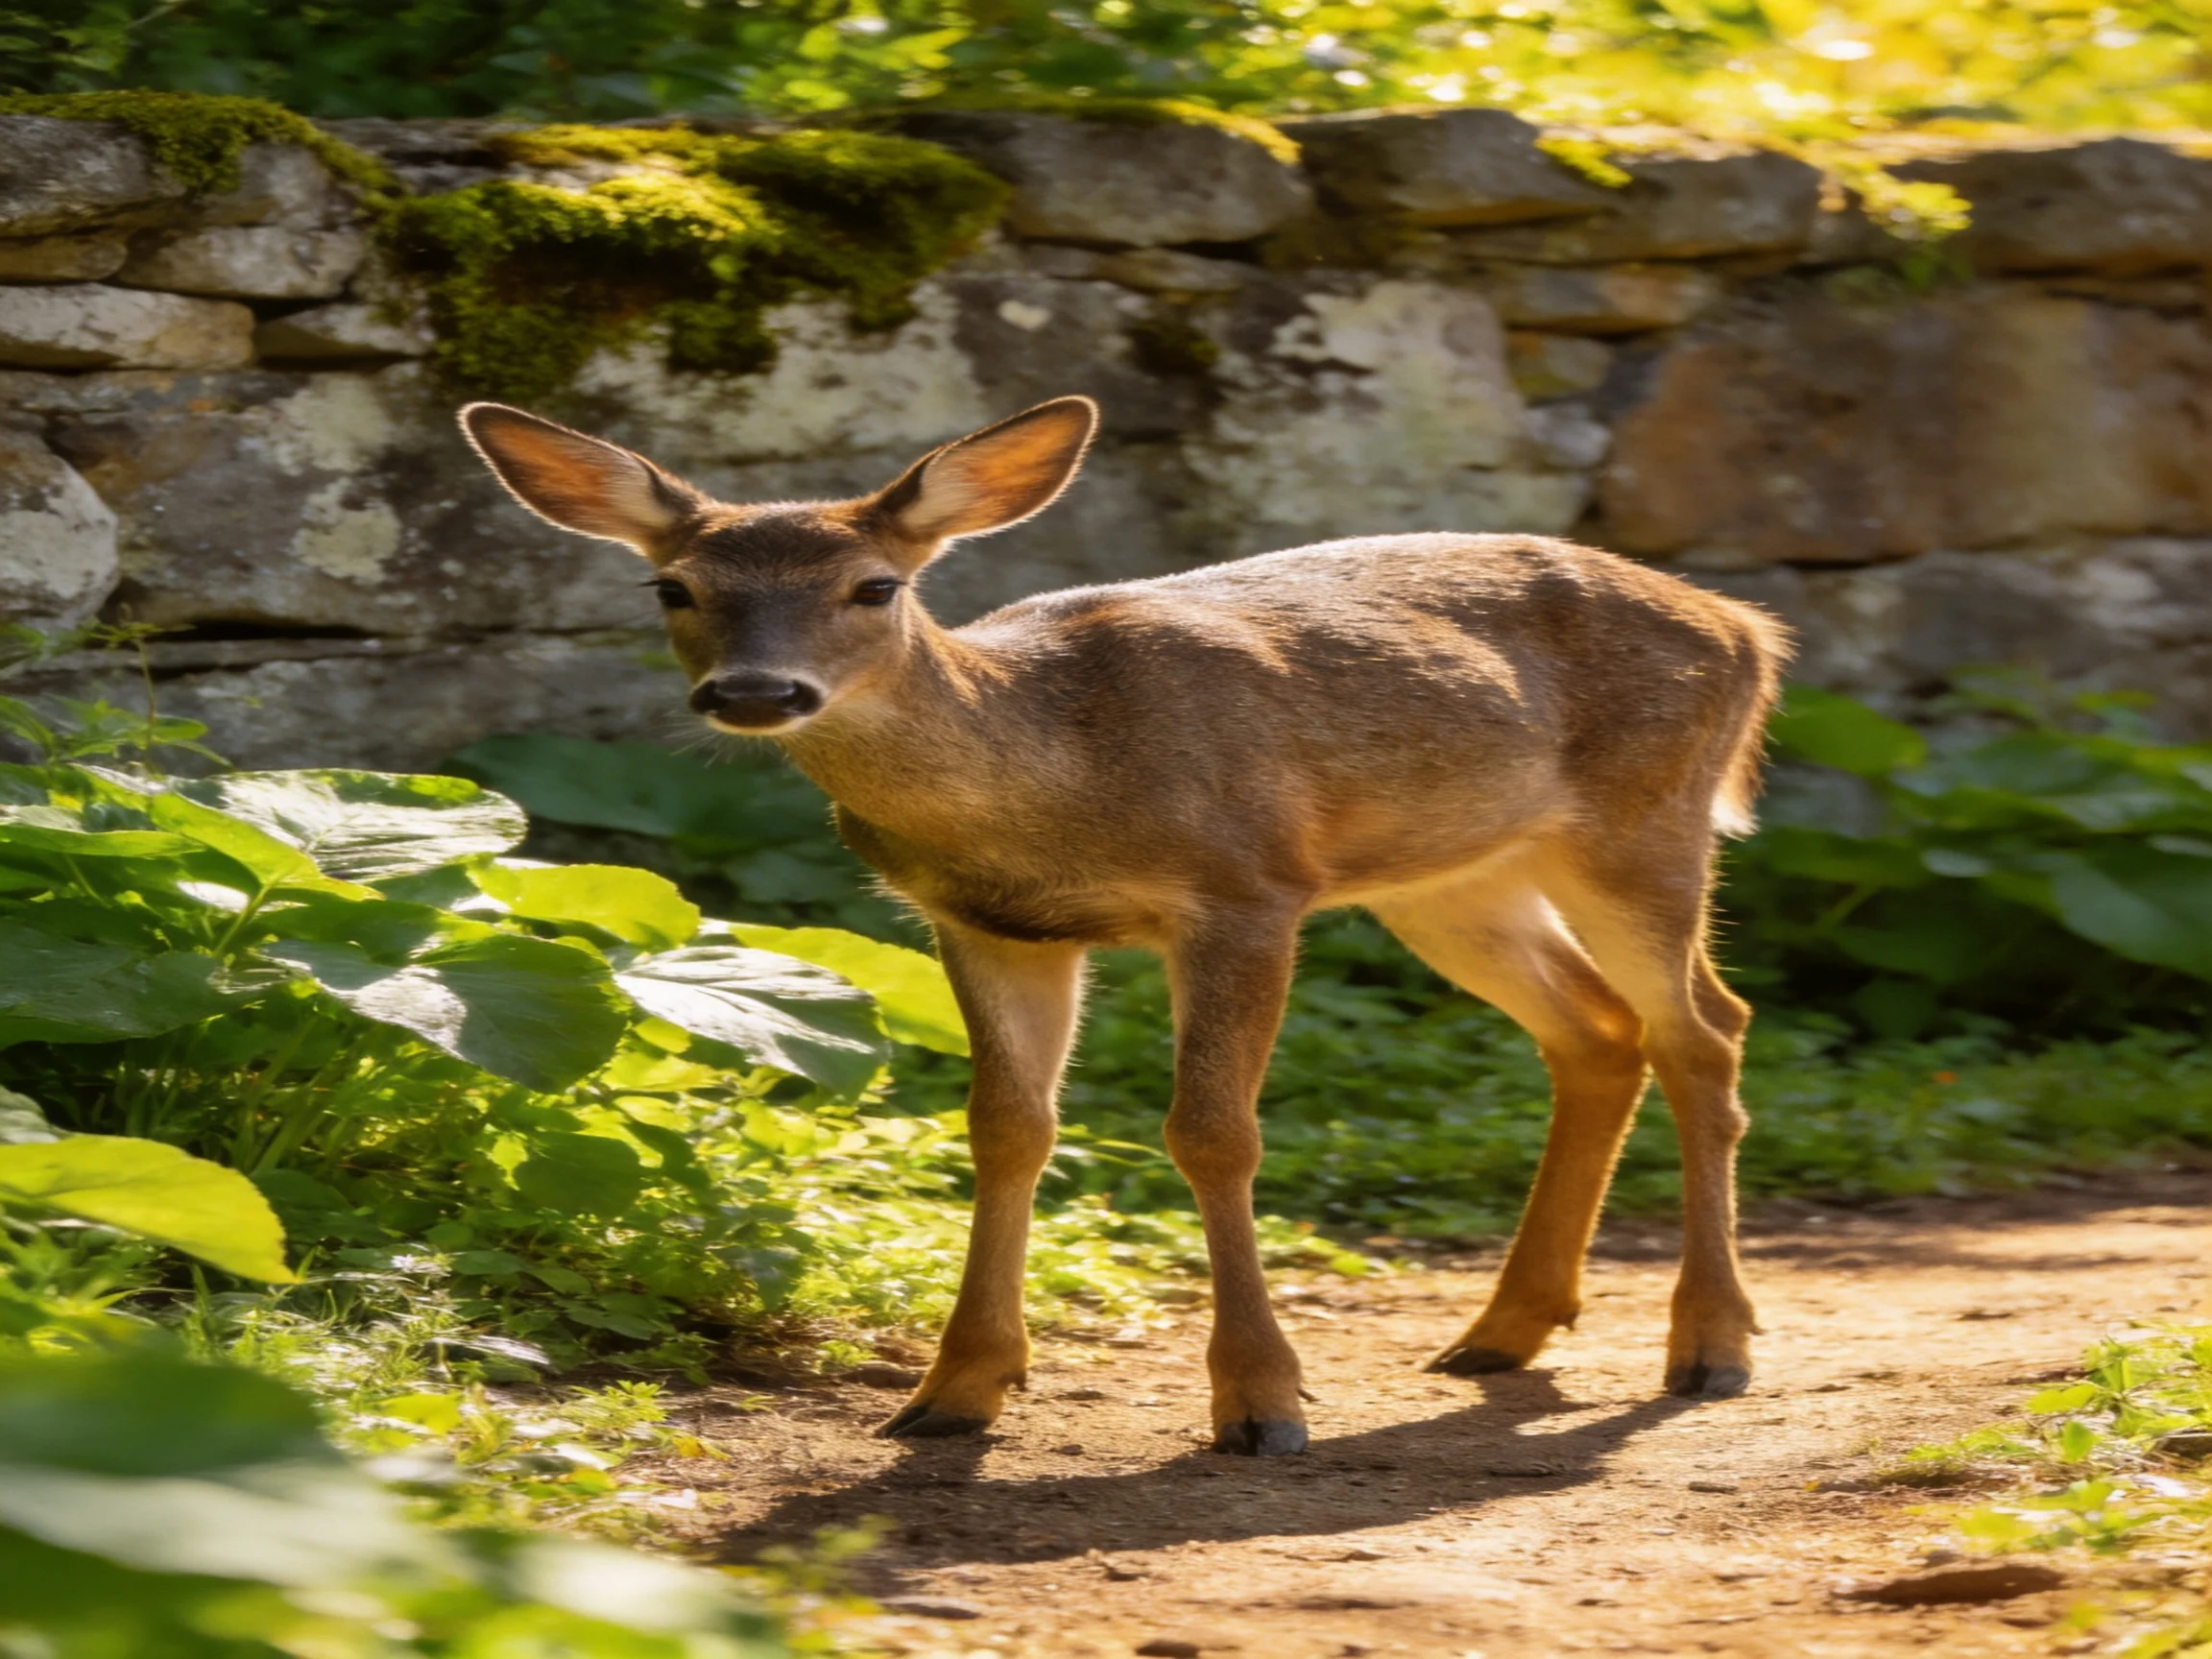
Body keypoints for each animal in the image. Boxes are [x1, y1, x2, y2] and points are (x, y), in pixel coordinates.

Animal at [461, 393, 1790, 1456]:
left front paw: (1261, 1406)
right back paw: (1503, 1332)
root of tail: (1750, 630)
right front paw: (955, 1392)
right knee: (1598, 1031)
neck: (1054, 782)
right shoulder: (990, 926)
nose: (752, 692)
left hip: (1644, 819)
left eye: (874, 586)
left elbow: (1213, 1134)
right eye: (674, 587)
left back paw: (1711, 1345)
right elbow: (1006, 1129)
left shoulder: (1247, 890)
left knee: (1705, 1027)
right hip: (1452, 880)